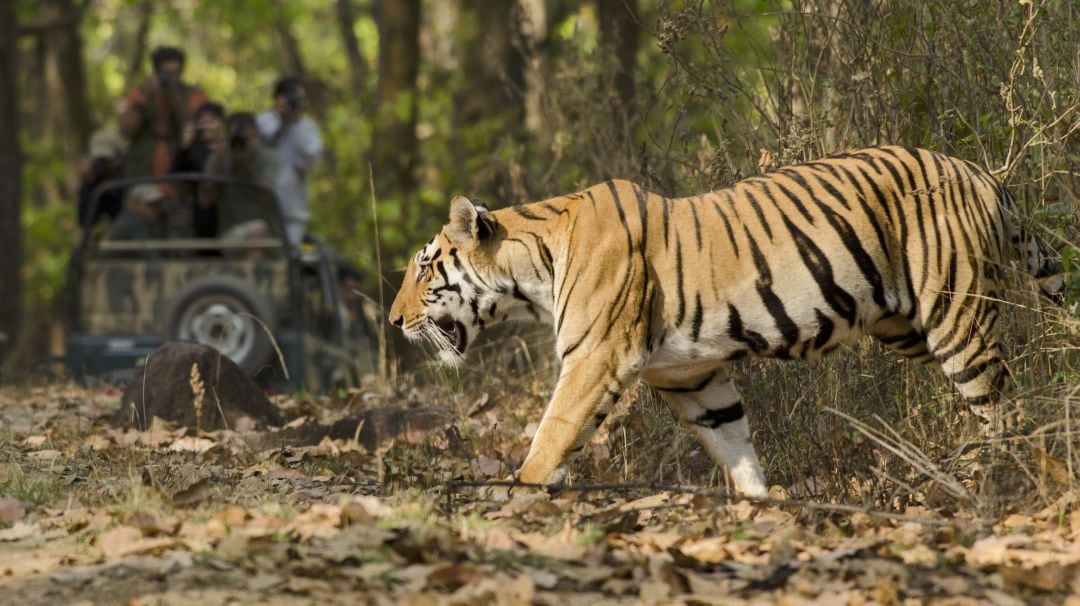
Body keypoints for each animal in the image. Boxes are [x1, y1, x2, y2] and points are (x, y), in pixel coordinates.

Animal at [388, 145, 1062, 496]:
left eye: (423, 267)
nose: (393, 322)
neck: (532, 270)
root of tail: (982, 173)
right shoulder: (690, 375)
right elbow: (732, 441)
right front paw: (759, 507)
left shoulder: (595, 358)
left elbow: (553, 431)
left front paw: (519, 488)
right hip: (906, 327)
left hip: (956, 314)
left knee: (1006, 407)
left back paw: (1011, 478)